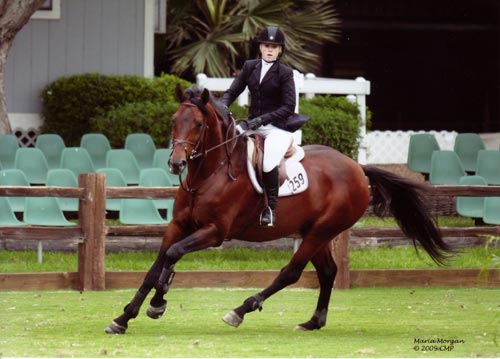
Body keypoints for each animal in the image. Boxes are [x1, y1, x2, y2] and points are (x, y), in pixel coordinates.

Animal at [104, 84, 454, 334]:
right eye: (175, 121)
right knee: (327, 272)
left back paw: (241, 310)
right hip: (315, 231)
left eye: (199, 124)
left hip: (322, 230)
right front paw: (125, 317)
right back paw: (313, 321)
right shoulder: (179, 225)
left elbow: (174, 254)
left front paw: (158, 301)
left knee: (292, 272)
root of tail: (357, 167)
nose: (176, 163)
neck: (209, 174)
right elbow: (158, 263)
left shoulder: (214, 232)